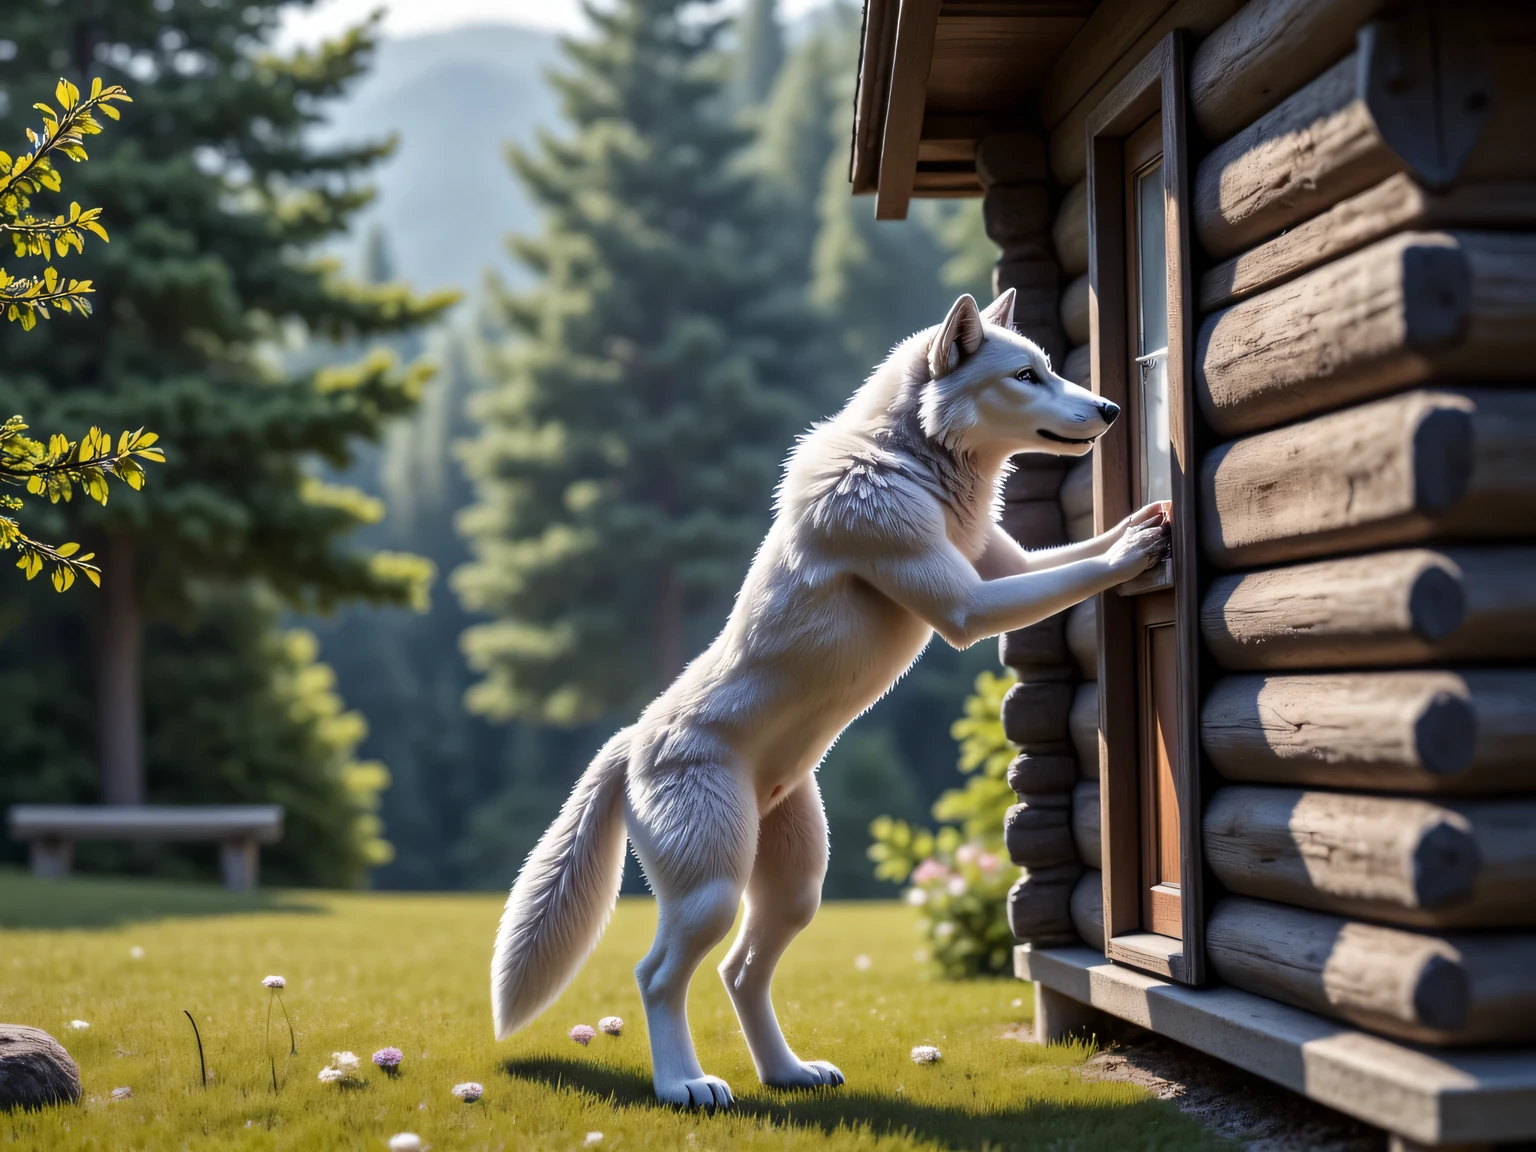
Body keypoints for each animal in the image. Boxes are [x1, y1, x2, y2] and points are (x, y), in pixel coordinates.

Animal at [489, 288, 1170, 1108]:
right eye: (1025, 375)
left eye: (1047, 367)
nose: (1109, 408)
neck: (911, 459)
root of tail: (629, 744)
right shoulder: (966, 604)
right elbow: (1075, 572)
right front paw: (1134, 549)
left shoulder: (999, 565)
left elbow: (1066, 560)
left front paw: (1137, 522)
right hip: (712, 889)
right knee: (657, 976)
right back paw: (685, 1085)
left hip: (795, 887)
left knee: (739, 973)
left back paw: (785, 1072)